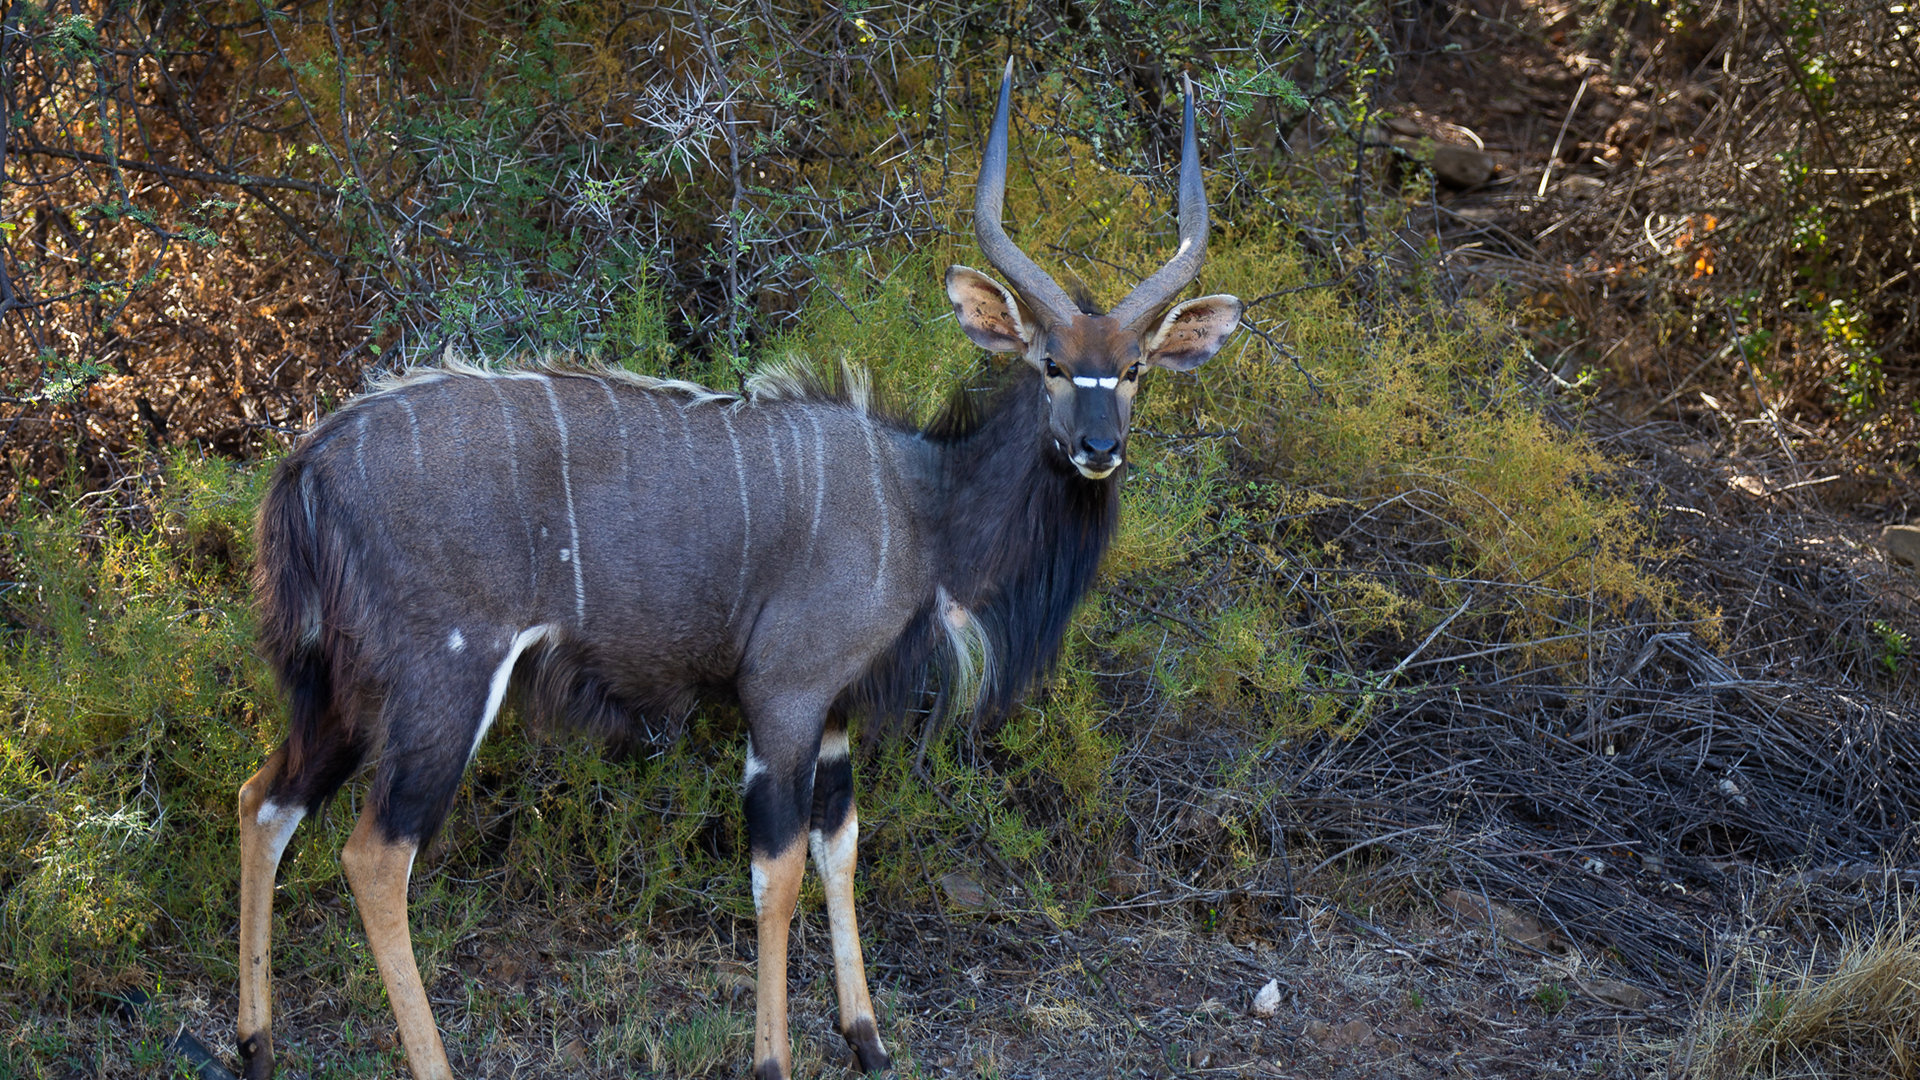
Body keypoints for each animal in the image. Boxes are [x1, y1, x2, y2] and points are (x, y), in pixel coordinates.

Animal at [236, 62, 1244, 1068]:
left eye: (1136, 368)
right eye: (1051, 364)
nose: (1099, 448)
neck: (923, 502)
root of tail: (310, 464)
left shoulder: (832, 713)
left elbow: (840, 848)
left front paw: (868, 1039)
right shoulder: (784, 695)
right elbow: (778, 871)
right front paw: (773, 1056)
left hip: (337, 691)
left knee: (264, 801)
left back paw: (254, 1043)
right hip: (439, 684)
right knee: (374, 858)